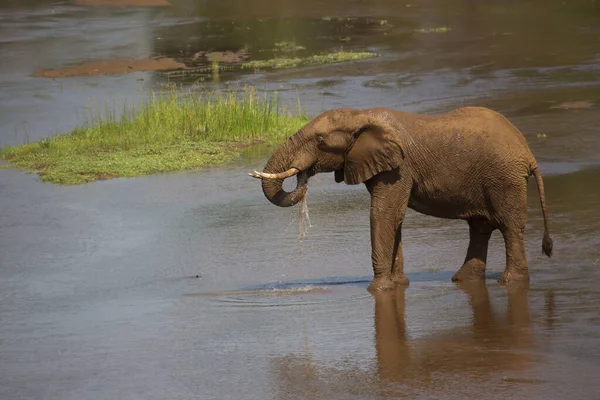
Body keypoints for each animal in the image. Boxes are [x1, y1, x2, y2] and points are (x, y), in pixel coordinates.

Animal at [248, 105, 552, 290]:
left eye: (321, 141)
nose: (304, 174)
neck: (361, 115)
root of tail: (527, 151)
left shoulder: (399, 168)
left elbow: (383, 214)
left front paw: (379, 289)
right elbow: (395, 218)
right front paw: (398, 285)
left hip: (504, 178)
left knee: (509, 226)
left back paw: (509, 282)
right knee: (480, 228)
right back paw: (462, 279)